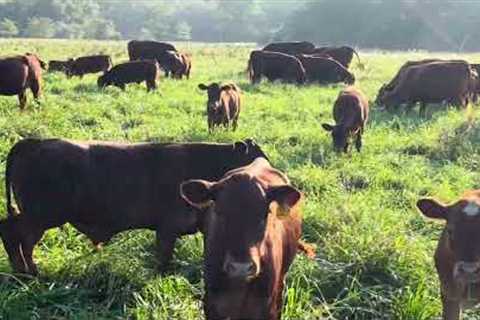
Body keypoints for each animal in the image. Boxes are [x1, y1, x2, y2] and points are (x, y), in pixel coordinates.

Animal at [0, 138, 268, 276]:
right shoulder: (168, 228)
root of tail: (33, 142)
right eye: (255, 161)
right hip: (42, 214)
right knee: (14, 234)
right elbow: (163, 258)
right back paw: (29, 272)